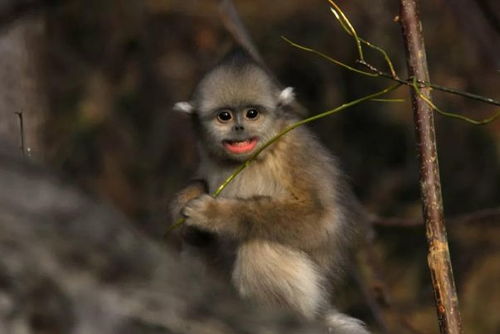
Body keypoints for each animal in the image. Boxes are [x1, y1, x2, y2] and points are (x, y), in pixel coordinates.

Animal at [172, 50, 372, 334]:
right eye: (225, 117)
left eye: (252, 114)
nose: (239, 128)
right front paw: (184, 202)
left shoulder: (295, 151)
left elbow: (319, 216)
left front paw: (213, 213)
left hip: (309, 302)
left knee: (260, 245)